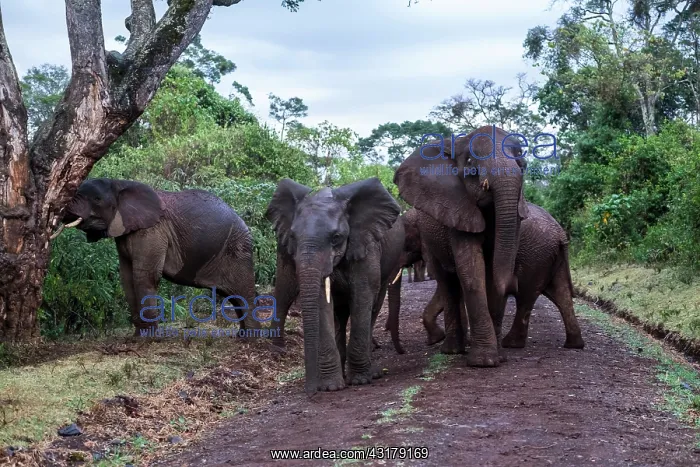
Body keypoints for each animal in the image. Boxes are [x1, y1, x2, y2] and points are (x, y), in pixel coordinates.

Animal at [53, 178, 261, 334]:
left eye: (97, 199)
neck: (120, 184)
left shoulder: (153, 231)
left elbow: (145, 275)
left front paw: (149, 338)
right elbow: (127, 277)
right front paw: (138, 336)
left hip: (237, 250)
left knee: (243, 292)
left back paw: (250, 339)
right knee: (233, 296)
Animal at [265, 177, 403, 395]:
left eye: (336, 237)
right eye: (293, 237)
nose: (310, 392)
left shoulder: (367, 246)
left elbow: (363, 295)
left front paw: (360, 381)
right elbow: (322, 301)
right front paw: (330, 386)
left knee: (373, 307)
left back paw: (372, 373)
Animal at [394, 125, 529, 366]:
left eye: (521, 159)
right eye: (470, 163)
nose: (514, 285)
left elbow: (496, 269)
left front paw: (499, 357)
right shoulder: (457, 210)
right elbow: (473, 272)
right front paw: (484, 362)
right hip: (430, 239)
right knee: (447, 281)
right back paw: (452, 350)